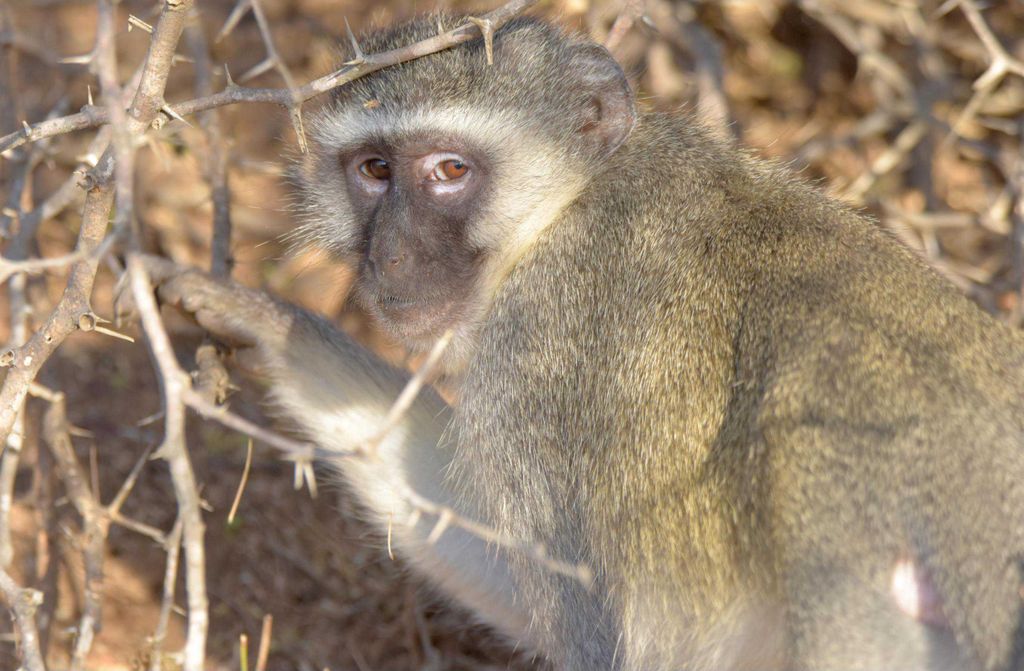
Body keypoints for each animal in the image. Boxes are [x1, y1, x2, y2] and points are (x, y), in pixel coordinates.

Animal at [118, 13, 1024, 671]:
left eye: (450, 171)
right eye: (373, 170)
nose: (393, 254)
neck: (563, 208)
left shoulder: (538, 355)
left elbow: (587, 631)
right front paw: (267, 321)